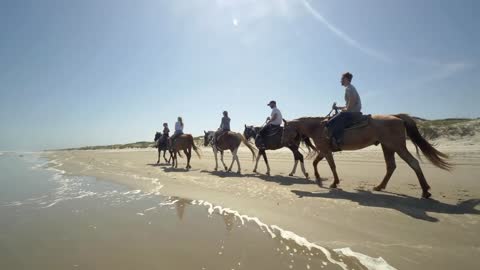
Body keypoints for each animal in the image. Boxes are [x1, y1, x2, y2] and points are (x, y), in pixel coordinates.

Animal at [280, 114, 452, 198]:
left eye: (285, 129)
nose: (283, 141)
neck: (317, 127)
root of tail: (397, 117)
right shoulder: (324, 150)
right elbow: (316, 163)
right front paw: (318, 178)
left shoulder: (326, 151)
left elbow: (331, 166)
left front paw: (334, 183)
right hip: (387, 147)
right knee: (391, 166)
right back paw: (380, 186)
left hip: (397, 146)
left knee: (413, 162)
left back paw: (425, 191)